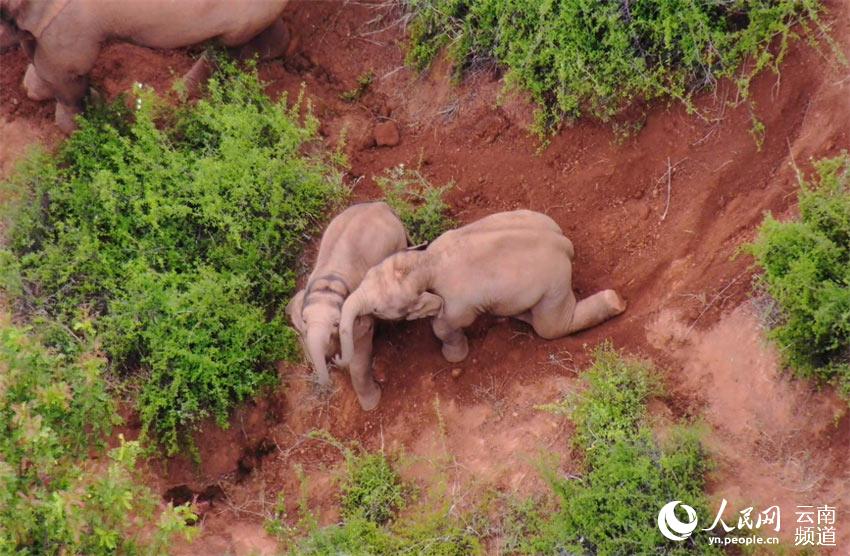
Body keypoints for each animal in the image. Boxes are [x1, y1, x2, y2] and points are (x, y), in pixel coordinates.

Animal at [0, 0, 291, 132]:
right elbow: (36, 52)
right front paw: (32, 90)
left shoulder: (69, 23)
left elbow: (64, 74)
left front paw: (79, 127)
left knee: (222, 45)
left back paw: (178, 94)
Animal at [285, 202, 407, 410]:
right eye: (304, 321)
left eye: (336, 323)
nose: (335, 359)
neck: (329, 280)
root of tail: (381, 205)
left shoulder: (358, 320)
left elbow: (359, 357)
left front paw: (372, 405)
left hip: (398, 244)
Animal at [336, 210, 626, 373]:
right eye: (366, 276)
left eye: (378, 309)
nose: (338, 358)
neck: (426, 261)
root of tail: (564, 242)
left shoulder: (457, 303)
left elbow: (446, 324)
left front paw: (453, 358)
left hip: (554, 283)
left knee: (551, 327)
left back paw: (614, 302)